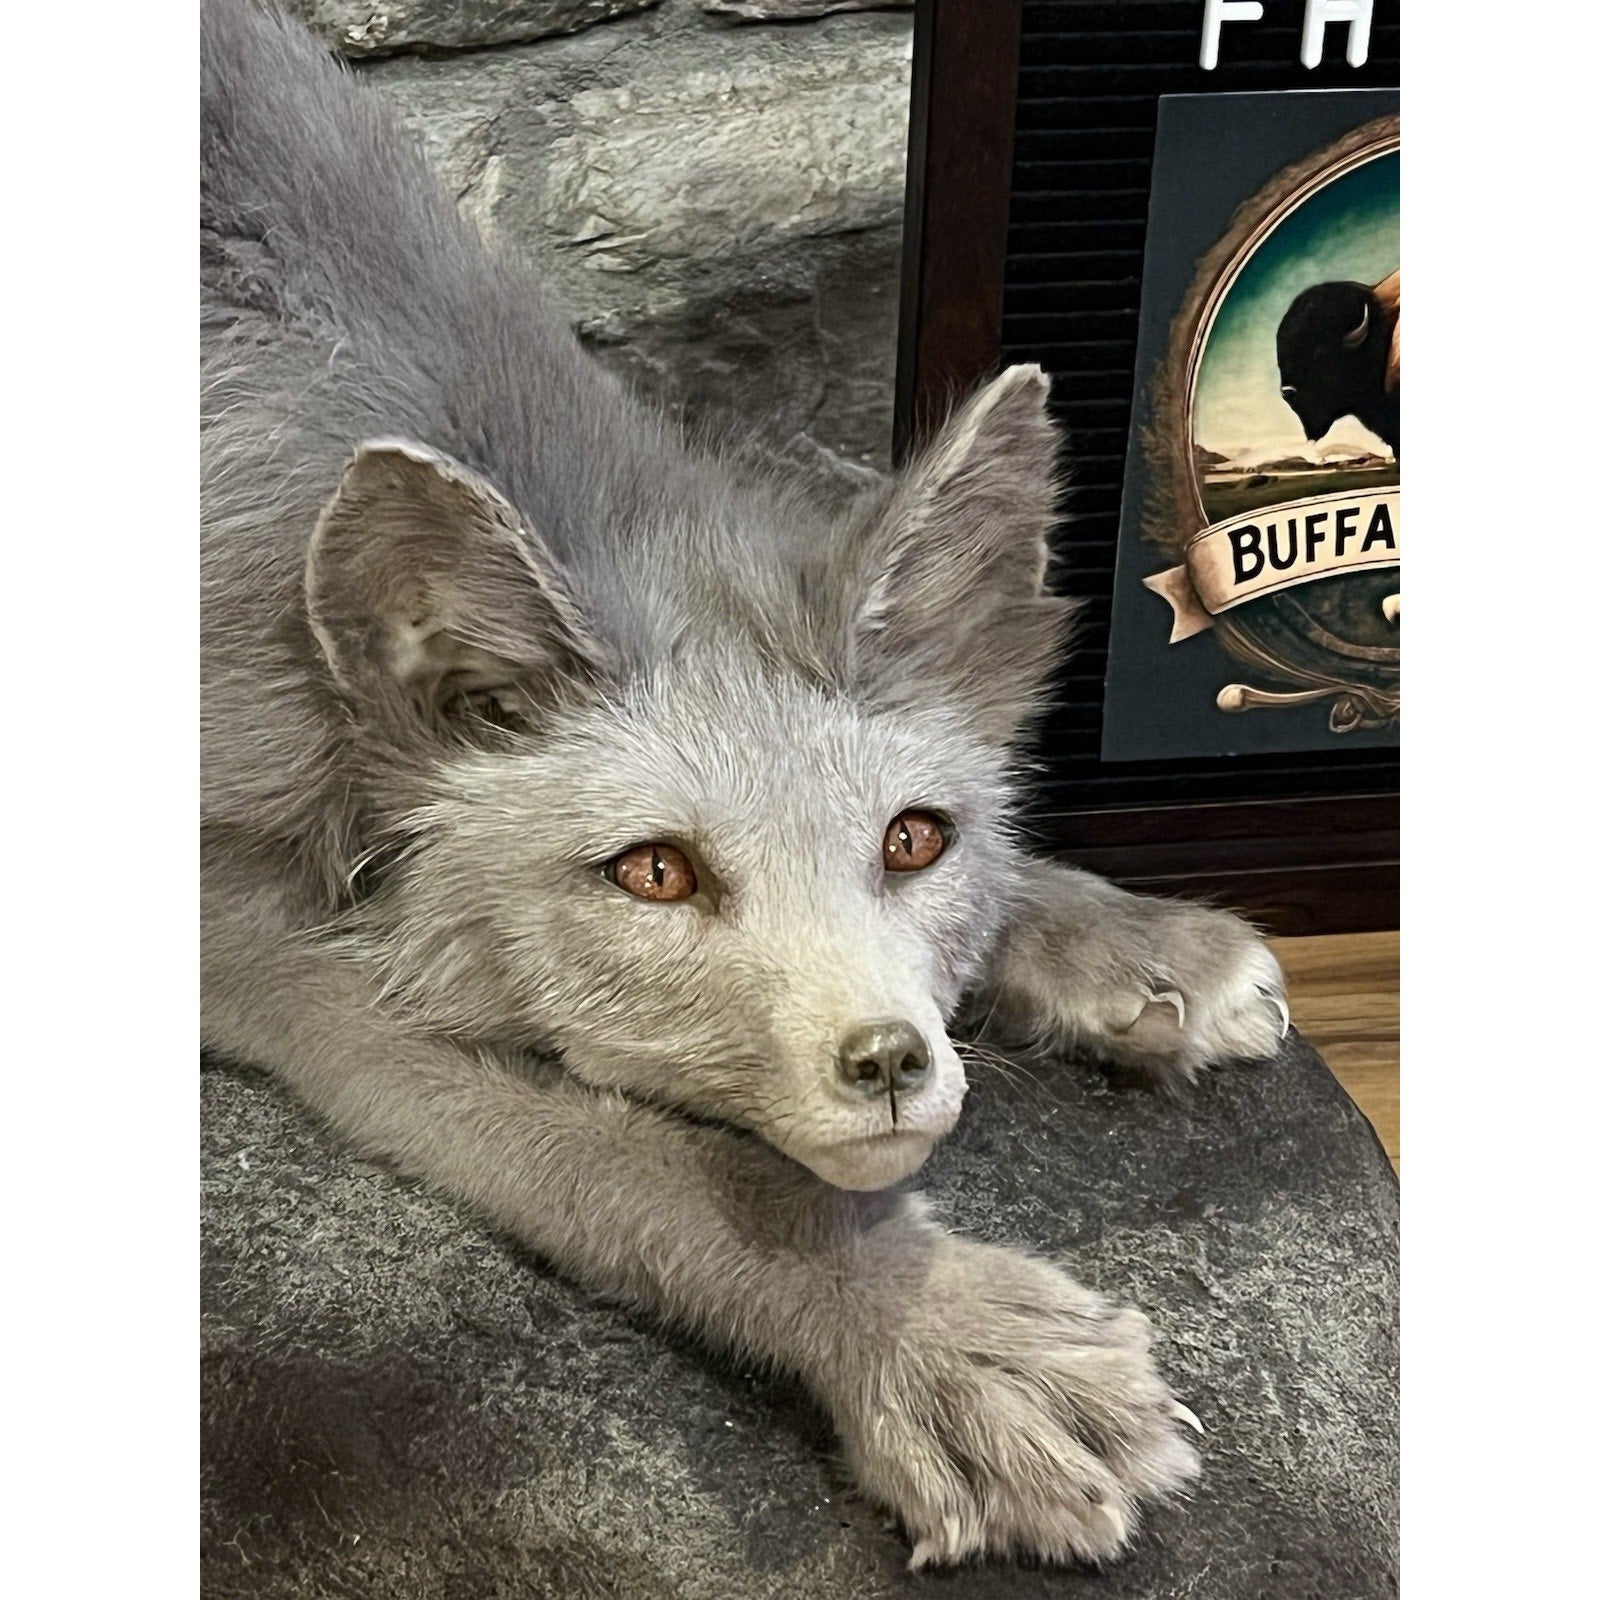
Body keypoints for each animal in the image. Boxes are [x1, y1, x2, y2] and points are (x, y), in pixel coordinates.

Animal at [201, 0, 1291, 1570]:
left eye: (915, 840)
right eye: (654, 871)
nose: (891, 1062)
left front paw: (1133, 945)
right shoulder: (254, 933)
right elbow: (641, 1166)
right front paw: (945, 1343)